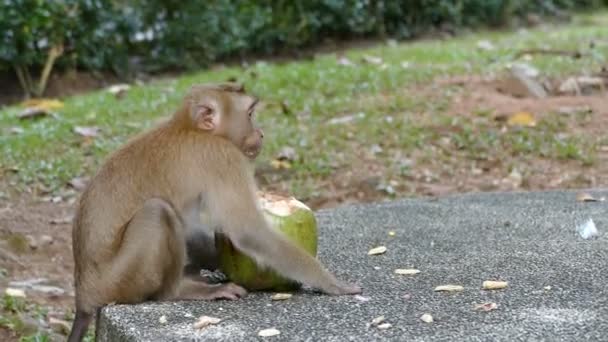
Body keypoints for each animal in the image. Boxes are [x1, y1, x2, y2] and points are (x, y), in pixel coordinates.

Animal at [66, 83, 360, 342]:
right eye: (250, 114)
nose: (261, 133)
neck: (187, 126)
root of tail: (84, 295)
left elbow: (194, 229)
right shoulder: (222, 156)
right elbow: (247, 230)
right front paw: (330, 282)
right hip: (118, 280)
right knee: (157, 212)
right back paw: (179, 290)